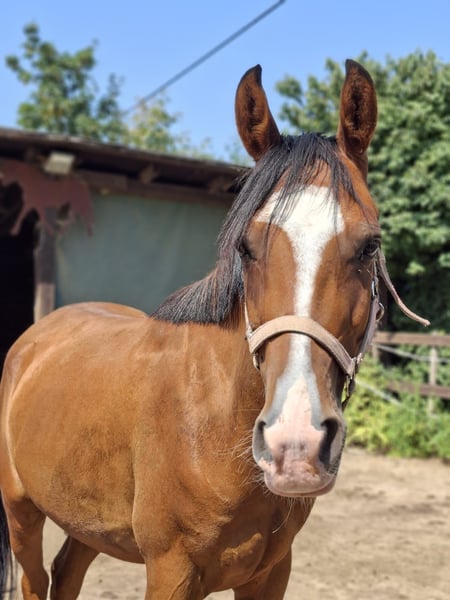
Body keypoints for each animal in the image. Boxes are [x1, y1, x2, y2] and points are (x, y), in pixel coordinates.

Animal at [0, 60, 428, 599]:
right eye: (245, 247)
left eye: (370, 246)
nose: (295, 444)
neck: (214, 417)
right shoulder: (171, 570)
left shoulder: (271, 573)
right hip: (22, 513)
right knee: (36, 577)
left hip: (88, 522)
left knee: (67, 570)